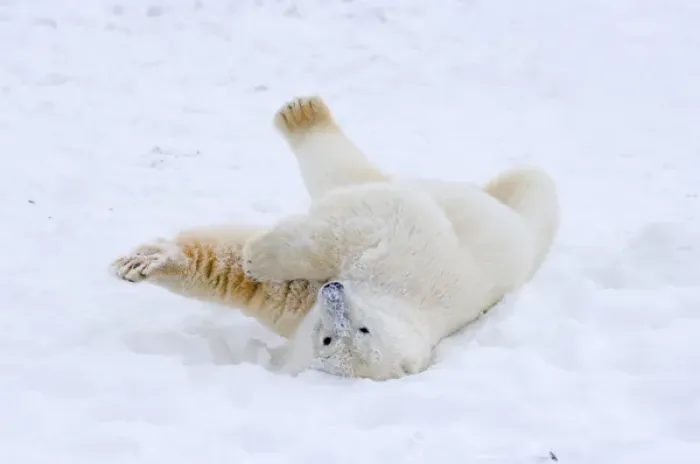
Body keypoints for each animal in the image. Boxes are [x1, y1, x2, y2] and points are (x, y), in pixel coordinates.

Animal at [111, 95, 559, 380]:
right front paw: (140, 261)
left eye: (346, 336)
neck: (392, 299)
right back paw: (303, 111)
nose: (335, 292)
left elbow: (265, 281)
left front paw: (251, 257)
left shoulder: (314, 305)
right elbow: (368, 219)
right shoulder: (405, 251)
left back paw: (301, 114)